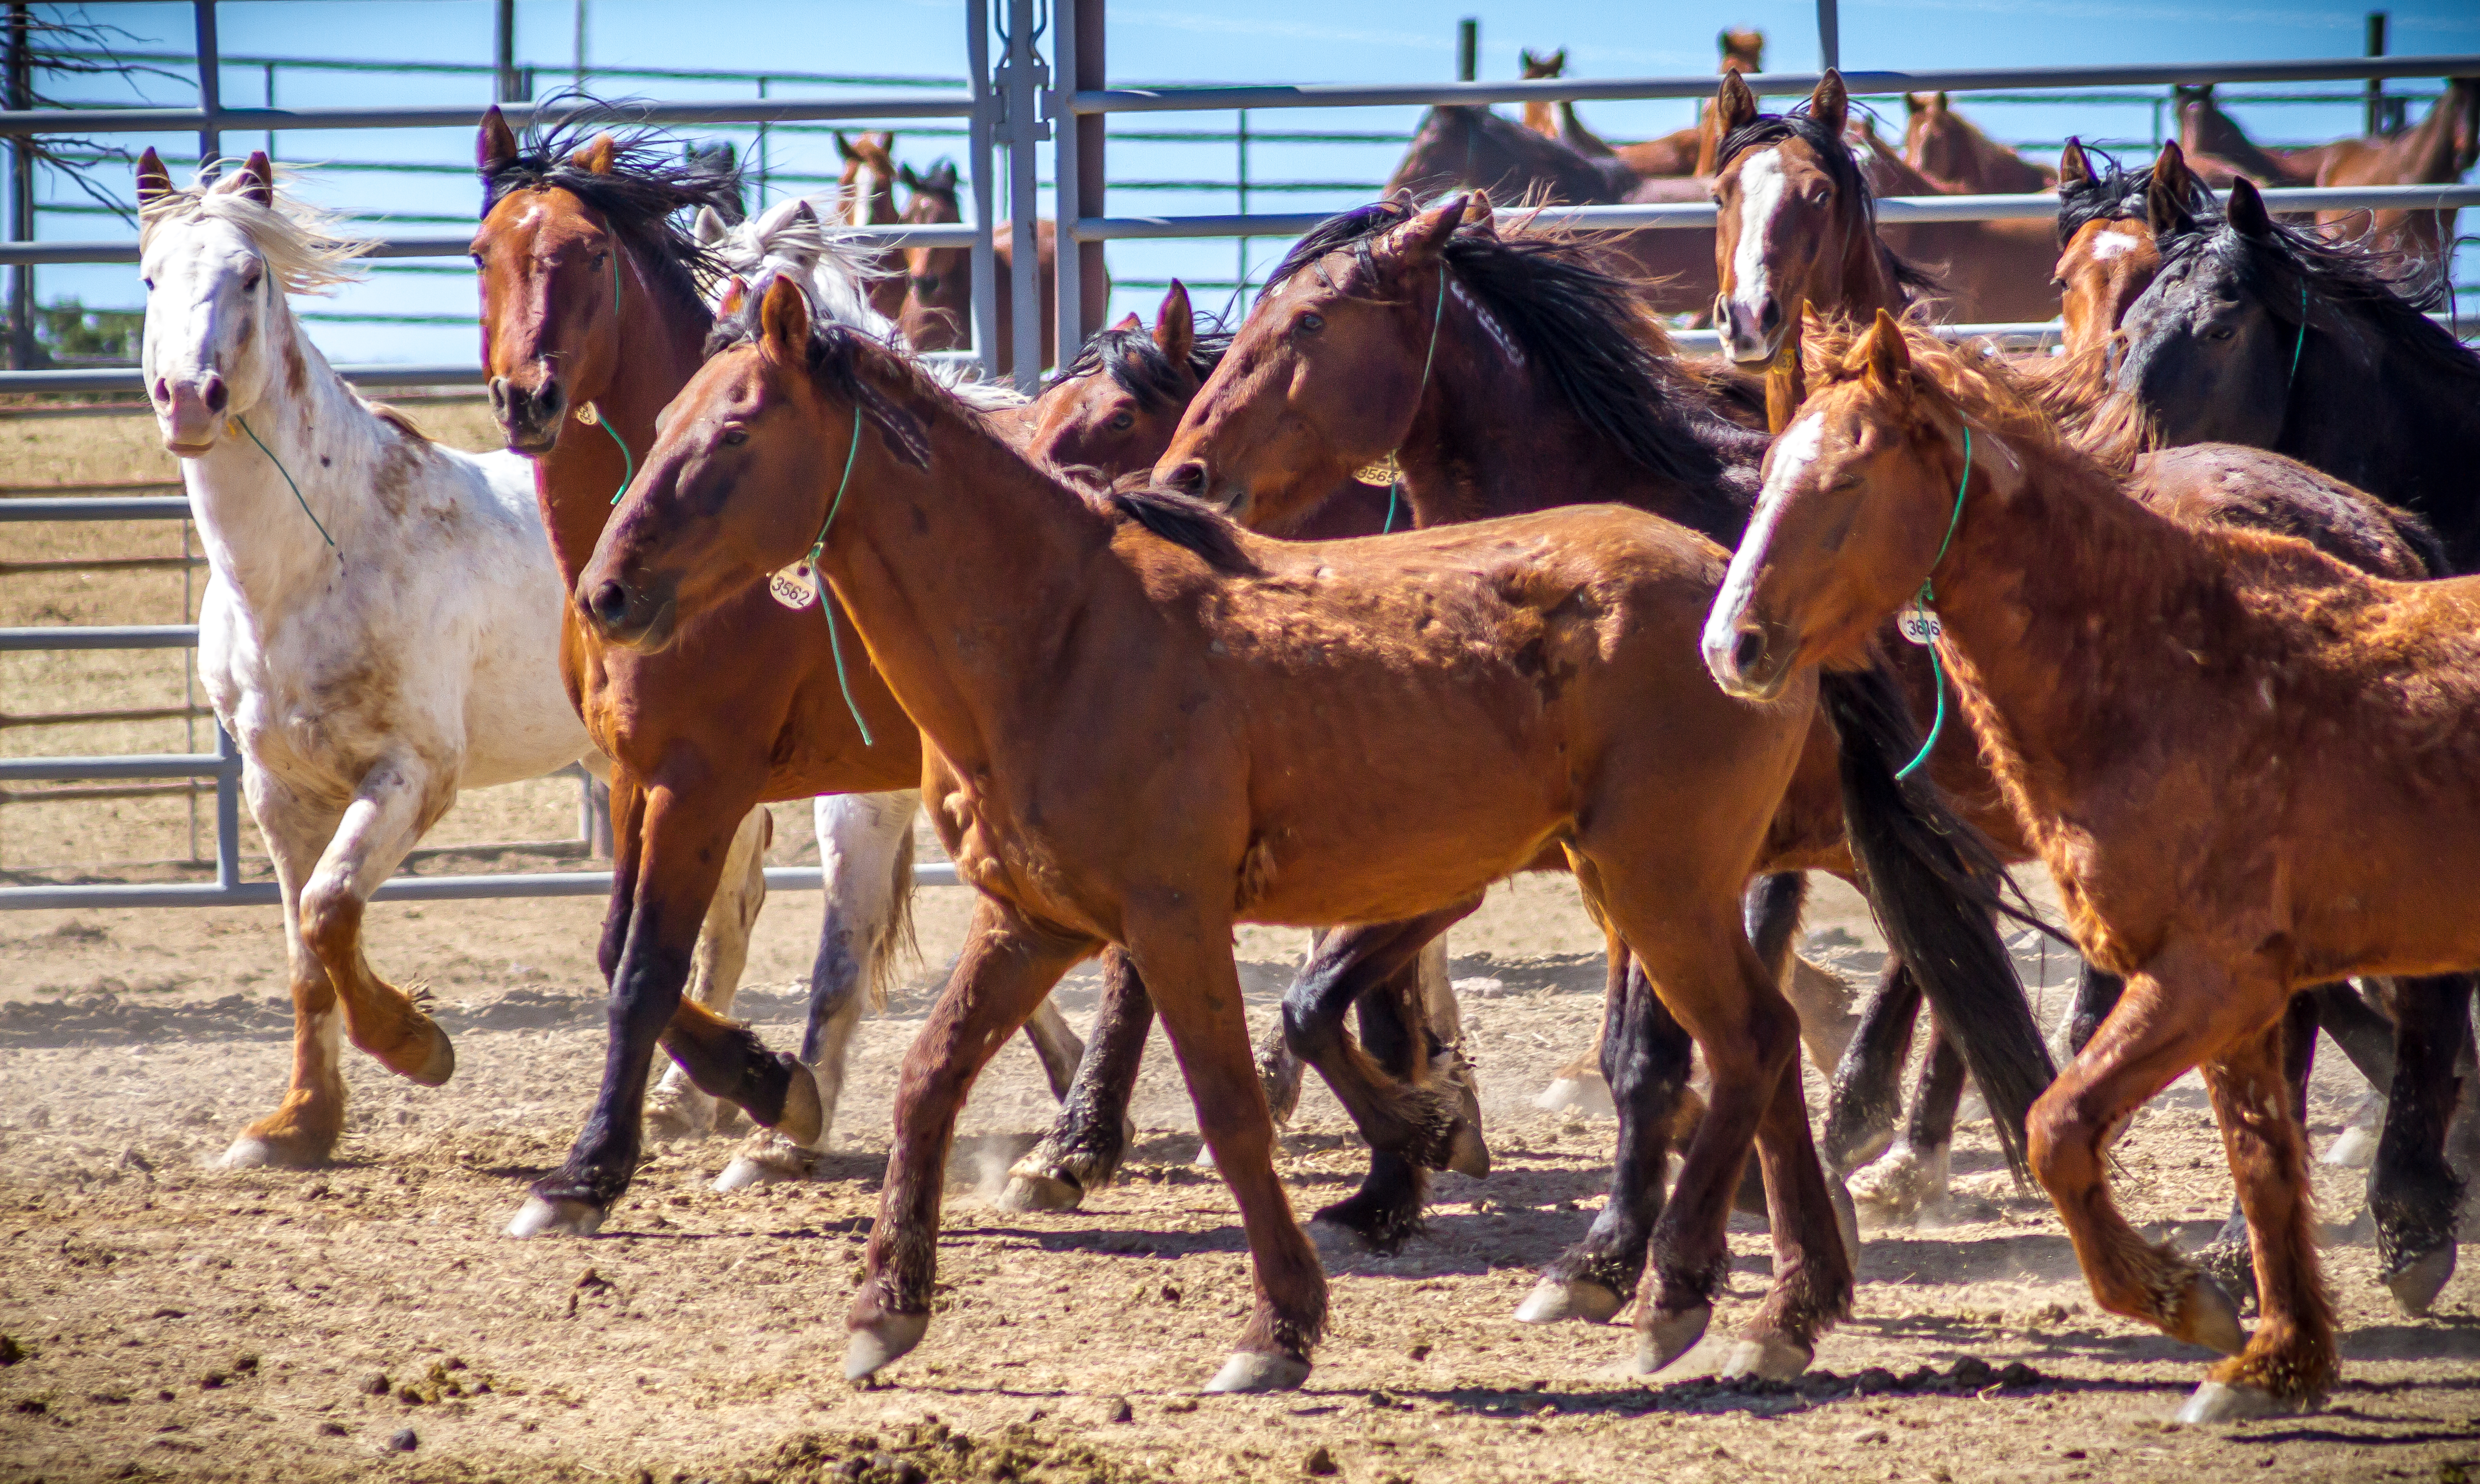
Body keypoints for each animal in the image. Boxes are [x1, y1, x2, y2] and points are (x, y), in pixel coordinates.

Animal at [131, 149, 646, 1169]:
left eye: (250, 277)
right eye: (150, 279)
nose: (189, 396)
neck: (319, 558)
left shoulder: (413, 772)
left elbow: (332, 908)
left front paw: (417, 1043)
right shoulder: (278, 790)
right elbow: (303, 953)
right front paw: (296, 1125)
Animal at [467, 106, 1086, 1235]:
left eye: (586, 254)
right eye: (482, 253)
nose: (526, 397)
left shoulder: (703, 783)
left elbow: (646, 970)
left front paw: (590, 1170)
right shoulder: (638, 780)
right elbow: (620, 951)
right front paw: (770, 1088)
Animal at [582, 268, 1869, 1394]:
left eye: (734, 431)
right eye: (666, 422)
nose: (604, 593)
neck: (1059, 634)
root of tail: (1739, 596)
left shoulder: (1173, 918)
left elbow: (1234, 1111)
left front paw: (1281, 1326)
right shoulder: (1033, 921)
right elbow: (927, 1082)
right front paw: (884, 1308)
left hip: (1658, 886)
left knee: (1749, 1042)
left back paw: (1672, 1294)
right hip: (1664, 890)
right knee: (1765, 1049)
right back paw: (1786, 1310)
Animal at [1154, 197, 2073, 1324]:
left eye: (1313, 321)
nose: (1185, 475)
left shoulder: (1650, 867)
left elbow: (1644, 1055)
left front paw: (1610, 1252)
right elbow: (1323, 1000)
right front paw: (1397, 1177)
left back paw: (1889, 1144)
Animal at [1705, 306, 2480, 1421]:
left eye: (1846, 481)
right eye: (1766, 475)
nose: (1730, 645)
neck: (2164, 669)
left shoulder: (2209, 976)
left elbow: (2057, 1124)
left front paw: (2182, 1299)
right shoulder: (2231, 993)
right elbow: (2259, 1161)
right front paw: (2272, 1357)